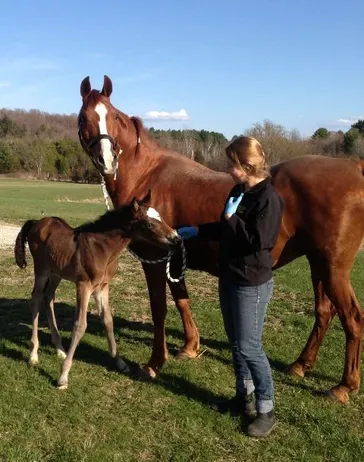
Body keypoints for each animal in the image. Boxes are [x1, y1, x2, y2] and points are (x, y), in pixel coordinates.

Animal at [14, 192, 179, 390]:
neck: (102, 249)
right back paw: (33, 355)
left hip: (56, 272)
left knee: (48, 297)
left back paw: (60, 349)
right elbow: (80, 325)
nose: (176, 239)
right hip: (42, 269)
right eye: (149, 224)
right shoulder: (84, 286)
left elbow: (108, 320)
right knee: (36, 299)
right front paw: (63, 376)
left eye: (160, 217)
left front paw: (120, 363)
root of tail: (37, 222)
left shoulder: (102, 287)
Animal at [77, 76, 364, 404]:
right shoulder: (175, 257)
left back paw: (344, 385)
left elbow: (160, 309)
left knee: (353, 318)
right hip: (318, 264)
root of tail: (354, 166)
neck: (146, 175)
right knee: (325, 312)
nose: (106, 160)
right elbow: (182, 300)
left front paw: (154, 364)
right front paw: (190, 347)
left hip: (333, 268)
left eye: (113, 117)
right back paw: (301, 365)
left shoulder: (154, 261)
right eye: (84, 117)